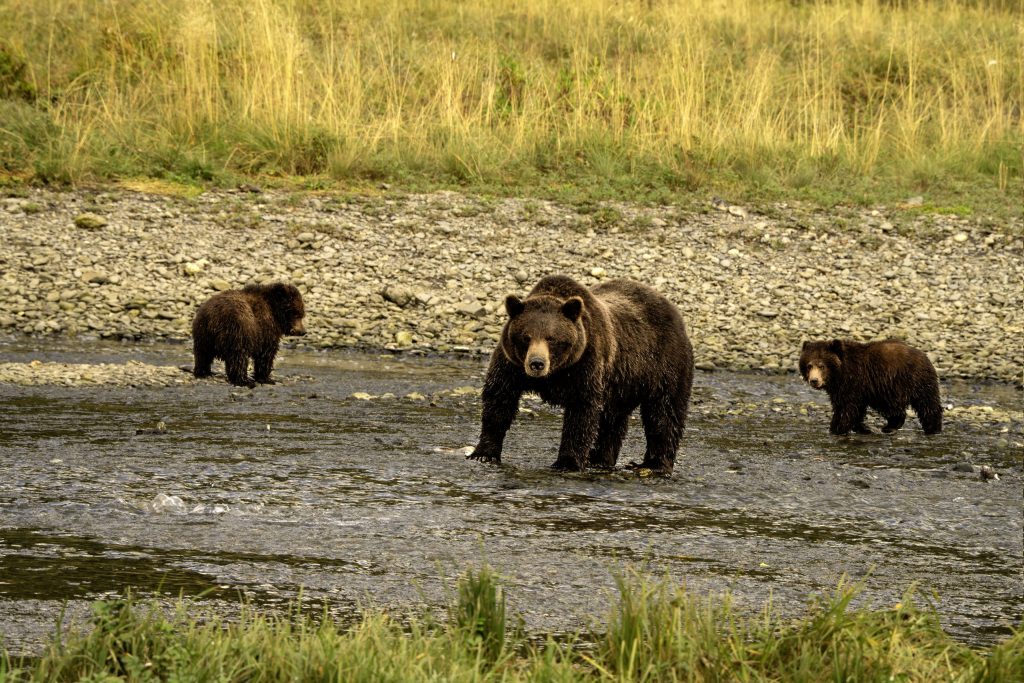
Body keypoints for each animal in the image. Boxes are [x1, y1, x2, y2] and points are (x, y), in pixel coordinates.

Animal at [467, 274, 694, 474]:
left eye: (551, 338)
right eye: (526, 337)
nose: (536, 363)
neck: (555, 373)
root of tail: (671, 308)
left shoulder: (585, 364)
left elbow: (582, 412)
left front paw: (566, 462)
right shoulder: (511, 366)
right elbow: (499, 401)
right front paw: (483, 454)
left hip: (663, 365)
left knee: (664, 413)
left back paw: (653, 465)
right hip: (621, 384)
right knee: (612, 421)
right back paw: (600, 461)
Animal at [799, 338, 943, 435]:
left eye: (822, 366)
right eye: (809, 365)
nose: (814, 380)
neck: (839, 374)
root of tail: (924, 356)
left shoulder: (853, 381)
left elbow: (846, 407)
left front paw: (836, 429)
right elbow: (855, 408)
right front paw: (862, 428)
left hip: (908, 380)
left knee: (926, 403)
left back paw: (931, 428)